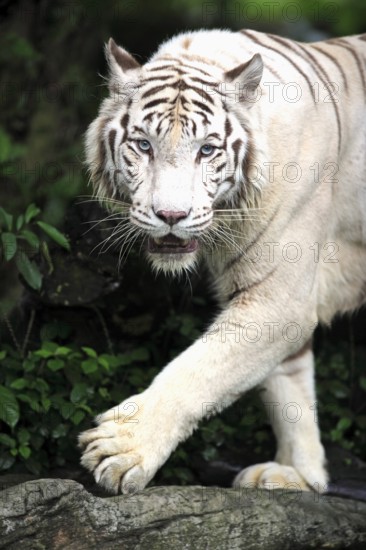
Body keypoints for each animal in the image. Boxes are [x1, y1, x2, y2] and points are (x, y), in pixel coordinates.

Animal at [78, 29, 366, 496]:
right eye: (144, 145)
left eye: (207, 150)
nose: (171, 215)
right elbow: (289, 386)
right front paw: (299, 475)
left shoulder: (278, 300)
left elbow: (199, 369)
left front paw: (124, 449)